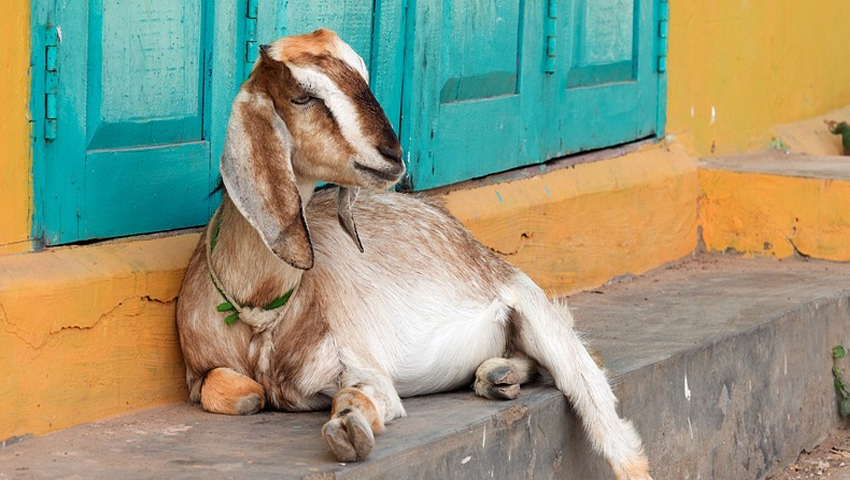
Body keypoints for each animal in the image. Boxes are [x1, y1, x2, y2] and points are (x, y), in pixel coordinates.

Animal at [176, 28, 652, 480]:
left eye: (362, 75)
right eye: (303, 95)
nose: (393, 154)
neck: (257, 309)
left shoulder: (360, 364)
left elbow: (361, 395)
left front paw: (349, 429)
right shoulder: (199, 373)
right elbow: (233, 392)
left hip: (535, 311)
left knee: (604, 410)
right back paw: (497, 377)